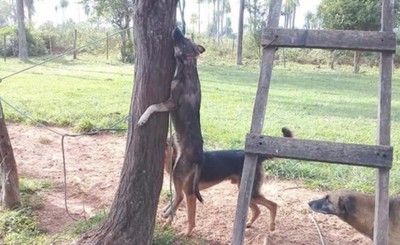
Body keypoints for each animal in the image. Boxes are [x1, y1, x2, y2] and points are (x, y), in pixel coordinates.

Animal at [138, 27, 206, 234]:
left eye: (183, 40)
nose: (176, 28)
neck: (187, 66)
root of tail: (199, 157)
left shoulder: (170, 103)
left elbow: (152, 106)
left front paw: (142, 118)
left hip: (177, 171)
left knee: (180, 196)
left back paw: (168, 213)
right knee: (178, 195)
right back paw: (167, 212)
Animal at [162, 127, 294, 234]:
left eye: (165, 144)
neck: (176, 159)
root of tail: (259, 156)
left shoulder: (190, 195)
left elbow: (190, 218)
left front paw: (187, 233)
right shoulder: (181, 193)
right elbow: (172, 207)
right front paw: (166, 220)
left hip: (251, 194)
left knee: (273, 205)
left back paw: (271, 226)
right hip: (245, 193)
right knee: (257, 210)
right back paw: (249, 224)